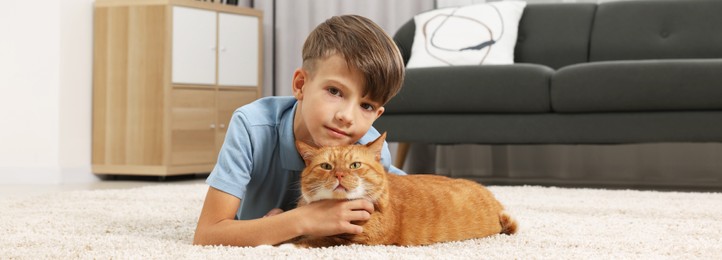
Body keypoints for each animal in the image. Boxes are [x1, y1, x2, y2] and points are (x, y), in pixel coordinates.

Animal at [290, 133, 516, 247]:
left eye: (355, 165)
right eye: (326, 166)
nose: (339, 175)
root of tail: (494, 199)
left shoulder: (359, 239)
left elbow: (315, 240)